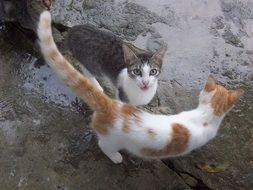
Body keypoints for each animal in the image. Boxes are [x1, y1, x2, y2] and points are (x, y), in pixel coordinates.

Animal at [37, 11, 243, 164]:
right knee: (86, 71)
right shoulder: (122, 95)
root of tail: (74, 30)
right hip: (91, 65)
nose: (144, 82)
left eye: (153, 72)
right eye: (136, 71)